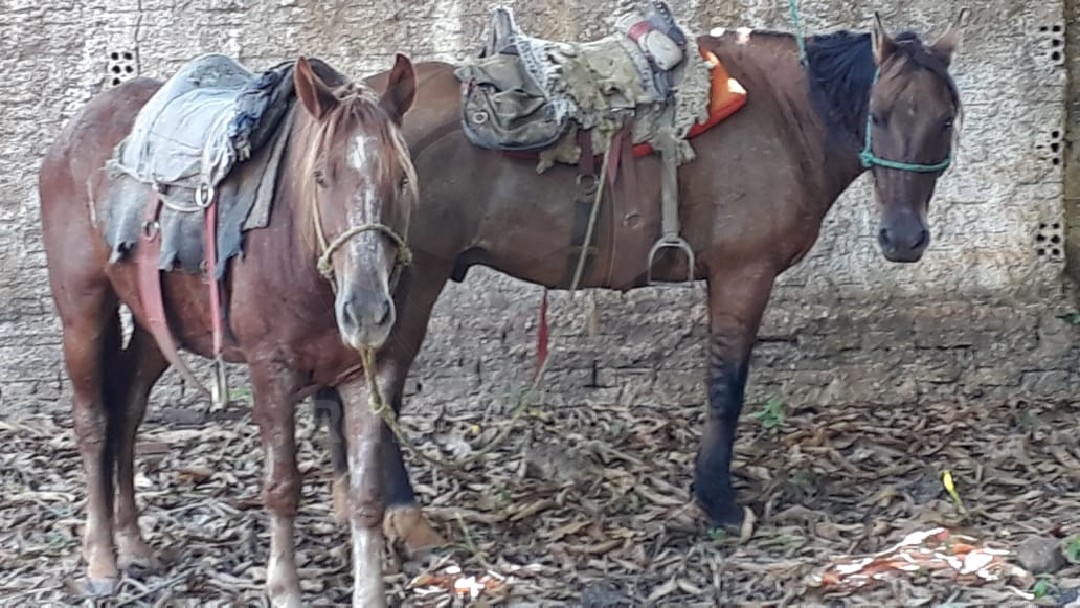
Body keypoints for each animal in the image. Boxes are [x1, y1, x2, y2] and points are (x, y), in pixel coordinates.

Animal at [38, 54, 419, 604]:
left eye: (402, 179)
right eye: (321, 177)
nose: (366, 311)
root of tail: (72, 133)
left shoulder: (373, 372)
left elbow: (367, 497)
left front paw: (369, 593)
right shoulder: (271, 371)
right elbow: (281, 488)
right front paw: (284, 589)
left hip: (158, 328)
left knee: (127, 411)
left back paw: (133, 544)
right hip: (82, 313)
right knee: (93, 423)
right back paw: (102, 561)